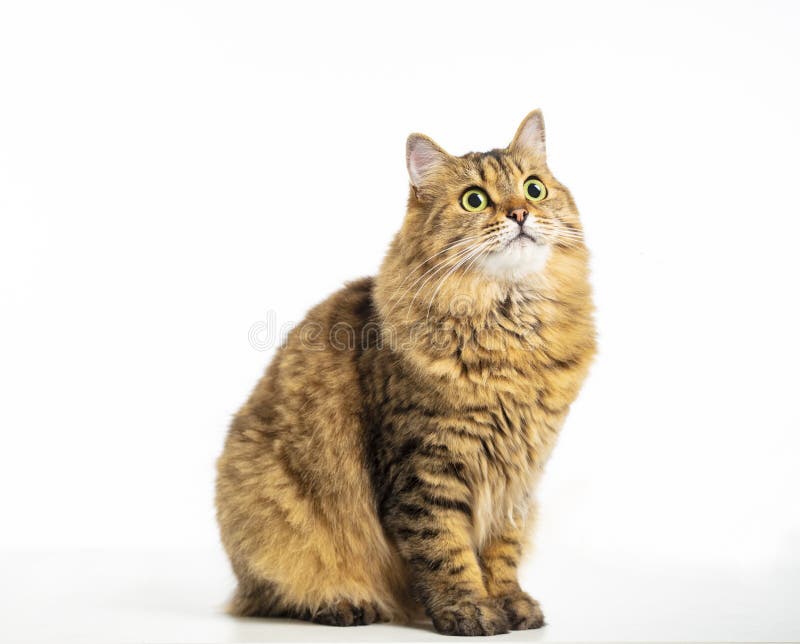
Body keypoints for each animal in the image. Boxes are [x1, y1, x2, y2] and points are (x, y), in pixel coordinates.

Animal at [216, 109, 596, 632]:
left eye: (534, 189)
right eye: (475, 199)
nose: (520, 213)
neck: (508, 330)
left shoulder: (518, 476)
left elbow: (502, 552)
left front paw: (509, 602)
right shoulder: (426, 467)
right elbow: (446, 551)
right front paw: (468, 610)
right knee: (278, 593)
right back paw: (346, 602)